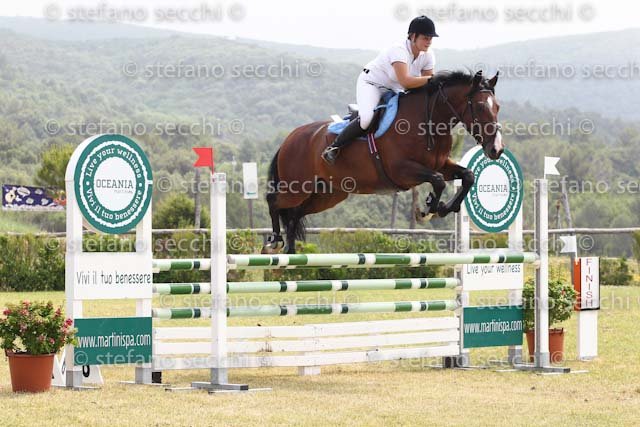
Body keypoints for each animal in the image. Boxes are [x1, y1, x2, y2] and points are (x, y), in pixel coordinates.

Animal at [263, 70, 503, 254]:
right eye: (480, 107)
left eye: (497, 107)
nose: (496, 149)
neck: (428, 121)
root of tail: (289, 139)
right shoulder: (402, 170)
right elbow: (438, 181)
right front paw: (429, 207)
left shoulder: (441, 164)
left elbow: (467, 176)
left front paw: (444, 207)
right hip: (297, 187)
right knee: (273, 200)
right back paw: (275, 240)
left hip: (327, 194)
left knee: (294, 214)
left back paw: (291, 254)